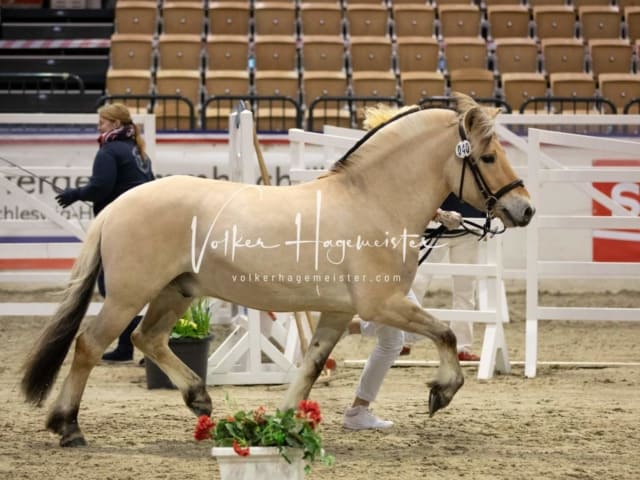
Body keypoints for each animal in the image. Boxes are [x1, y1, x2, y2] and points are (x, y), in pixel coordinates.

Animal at [20, 94, 532, 446]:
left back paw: (199, 398)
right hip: (129, 295)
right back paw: (68, 427)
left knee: (149, 339)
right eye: (488, 157)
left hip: (176, 292)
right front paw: (442, 391)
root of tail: (117, 205)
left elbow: (310, 366)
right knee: (89, 345)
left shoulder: (337, 312)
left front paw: (283, 425)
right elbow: (445, 332)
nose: (524, 210)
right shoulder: (381, 304)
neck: (372, 201)